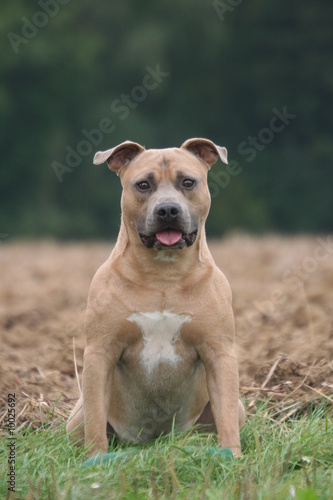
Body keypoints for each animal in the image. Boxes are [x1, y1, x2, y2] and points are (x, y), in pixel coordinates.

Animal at [67, 137, 244, 458]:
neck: (164, 273)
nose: (168, 210)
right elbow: (96, 420)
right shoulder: (100, 351)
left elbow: (225, 414)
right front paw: (96, 459)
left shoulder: (219, 351)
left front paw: (232, 456)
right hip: (77, 417)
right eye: (143, 185)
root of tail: (154, 440)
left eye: (188, 182)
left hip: (236, 408)